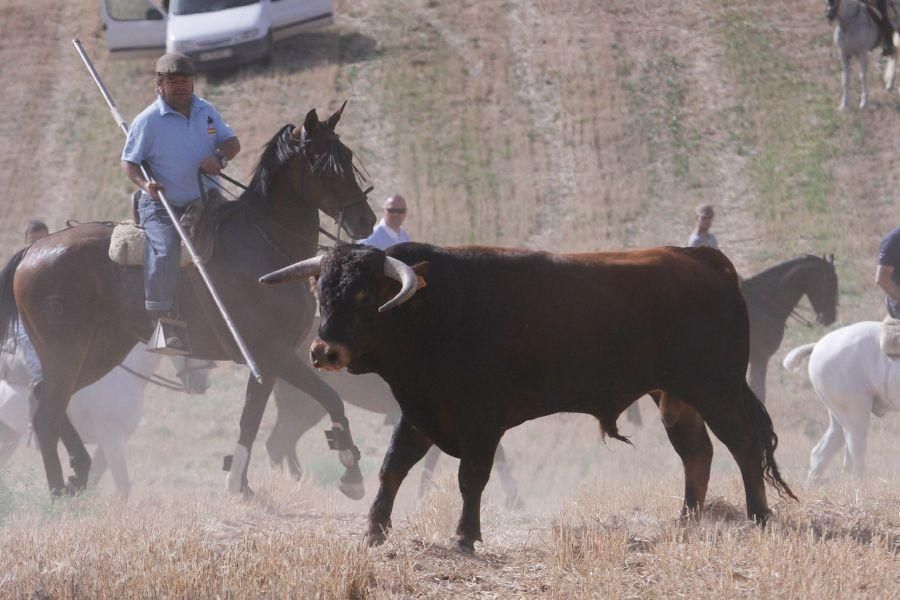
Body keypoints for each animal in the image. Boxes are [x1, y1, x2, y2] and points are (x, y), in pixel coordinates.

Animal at [0, 342, 213, 496]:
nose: (202, 384)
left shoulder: (107, 445)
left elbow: (93, 484)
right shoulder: (113, 442)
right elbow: (123, 488)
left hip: (9, 438)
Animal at [260, 241, 796, 552]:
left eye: (364, 295)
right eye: (321, 291)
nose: (324, 351)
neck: (436, 307)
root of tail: (700, 259)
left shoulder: (480, 422)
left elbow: (470, 479)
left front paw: (465, 536)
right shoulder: (420, 412)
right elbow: (392, 468)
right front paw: (373, 530)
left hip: (716, 386)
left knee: (743, 445)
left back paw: (758, 517)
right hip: (676, 396)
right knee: (697, 452)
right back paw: (687, 520)